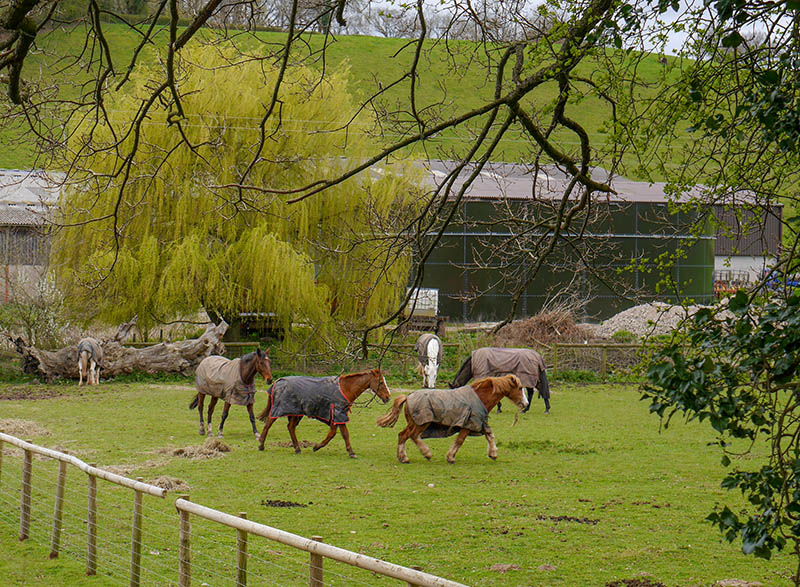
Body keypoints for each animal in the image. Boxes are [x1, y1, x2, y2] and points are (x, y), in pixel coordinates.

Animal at [257, 368, 391, 458]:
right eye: (381, 382)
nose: (388, 397)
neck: (344, 388)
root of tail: (278, 382)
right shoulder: (336, 415)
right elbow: (333, 433)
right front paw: (316, 447)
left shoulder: (340, 417)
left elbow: (345, 434)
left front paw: (351, 452)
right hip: (280, 410)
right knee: (268, 423)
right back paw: (261, 445)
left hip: (296, 413)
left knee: (290, 427)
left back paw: (297, 448)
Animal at [376, 374, 527, 464]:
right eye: (520, 388)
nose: (525, 404)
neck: (480, 397)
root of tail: (408, 397)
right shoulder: (468, 425)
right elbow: (460, 441)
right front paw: (450, 457)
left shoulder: (480, 423)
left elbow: (490, 435)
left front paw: (493, 454)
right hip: (422, 423)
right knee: (412, 436)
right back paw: (424, 454)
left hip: (414, 423)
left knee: (402, 435)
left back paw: (402, 457)